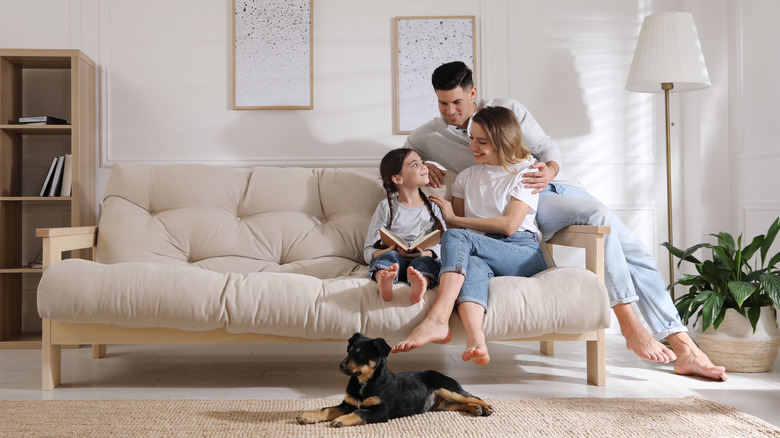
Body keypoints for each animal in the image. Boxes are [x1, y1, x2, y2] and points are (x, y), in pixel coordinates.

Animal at [296, 332, 490, 428]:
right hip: (442, 403)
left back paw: (486, 407)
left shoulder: (381, 411)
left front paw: (341, 420)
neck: (364, 382)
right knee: (459, 404)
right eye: (349, 351)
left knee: (472, 396)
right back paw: (475, 409)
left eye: (361, 355)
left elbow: (359, 412)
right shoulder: (347, 404)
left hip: (448, 389)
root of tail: (441, 373)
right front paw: (307, 416)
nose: (341, 365)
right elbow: (326, 409)